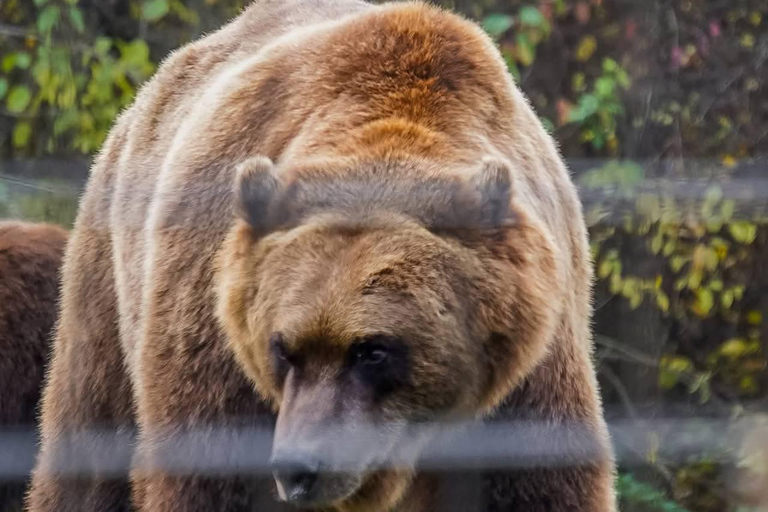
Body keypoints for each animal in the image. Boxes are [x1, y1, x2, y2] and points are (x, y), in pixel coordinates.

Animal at [27, 1, 617, 512]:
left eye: (373, 350)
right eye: (282, 348)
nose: (299, 469)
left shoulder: (528, 374)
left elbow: (540, 484)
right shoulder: (216, 342)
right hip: (107, 287)